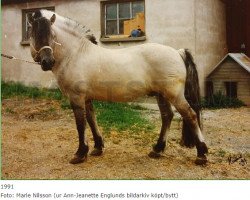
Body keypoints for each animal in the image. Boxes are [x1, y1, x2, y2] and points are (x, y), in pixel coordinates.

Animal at [27, 9, 208, 165]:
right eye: (33, 34)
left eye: (52, 35)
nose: (47, 62)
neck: (76, 54)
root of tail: (178, 52)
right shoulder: (87, 98)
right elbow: (91, 120)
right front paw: (97, 148)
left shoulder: (76, 98)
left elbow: (80, 125)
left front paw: (80, 154)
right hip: (161, 95)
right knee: (167, 116)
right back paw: (157, 150)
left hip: (174, 95)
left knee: (190, 116)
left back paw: (201, 155)